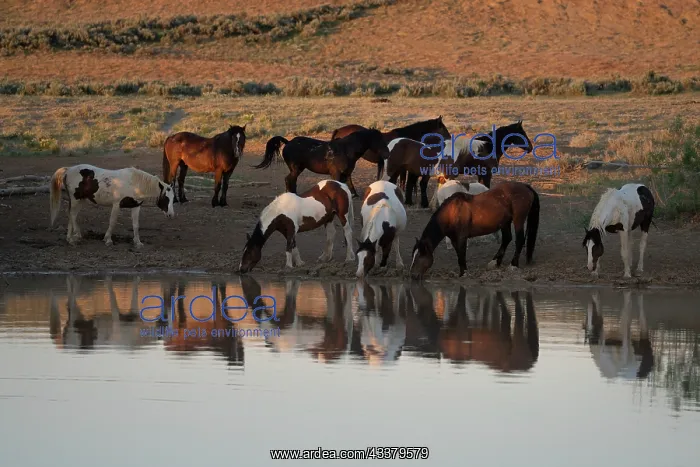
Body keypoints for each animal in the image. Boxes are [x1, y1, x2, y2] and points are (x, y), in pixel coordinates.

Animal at [253, 128, 390, 198]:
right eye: (378, 139)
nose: (387, 153)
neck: (346, 149)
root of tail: (288, 142)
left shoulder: (347, 173)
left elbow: (351, 187)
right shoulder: (336, 174)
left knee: (292, 180)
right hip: (296, 168)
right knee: (288, 179)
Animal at [410, 181, 540, 279]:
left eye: (419, 257)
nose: (412, 276)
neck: (452, 213)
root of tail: (525, 186)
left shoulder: (462, 238)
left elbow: (462, 256)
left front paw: (463, 273)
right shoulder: (454, 240)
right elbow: (459, 256)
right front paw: (463, 272)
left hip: (518, 220)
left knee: (519, 240)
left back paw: (513, 264)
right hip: (505, 222)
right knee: (507, 238)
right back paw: (495, 262)